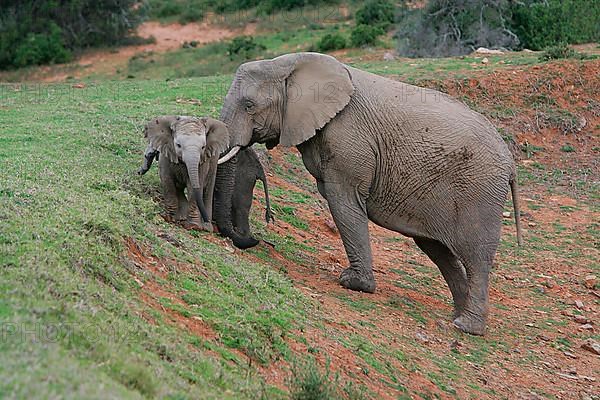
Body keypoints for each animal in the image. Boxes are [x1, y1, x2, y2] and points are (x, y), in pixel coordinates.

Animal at [214, 52, 520, 334]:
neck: (291, 64)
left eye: (249, 105)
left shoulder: (348, 142)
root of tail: (510, 161)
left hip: (479, 192)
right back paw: (456, 315)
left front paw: (353, 283)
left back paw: (467, 327)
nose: (254, 239)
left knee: (476, 257)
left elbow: (343, 202)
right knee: (437, 249)